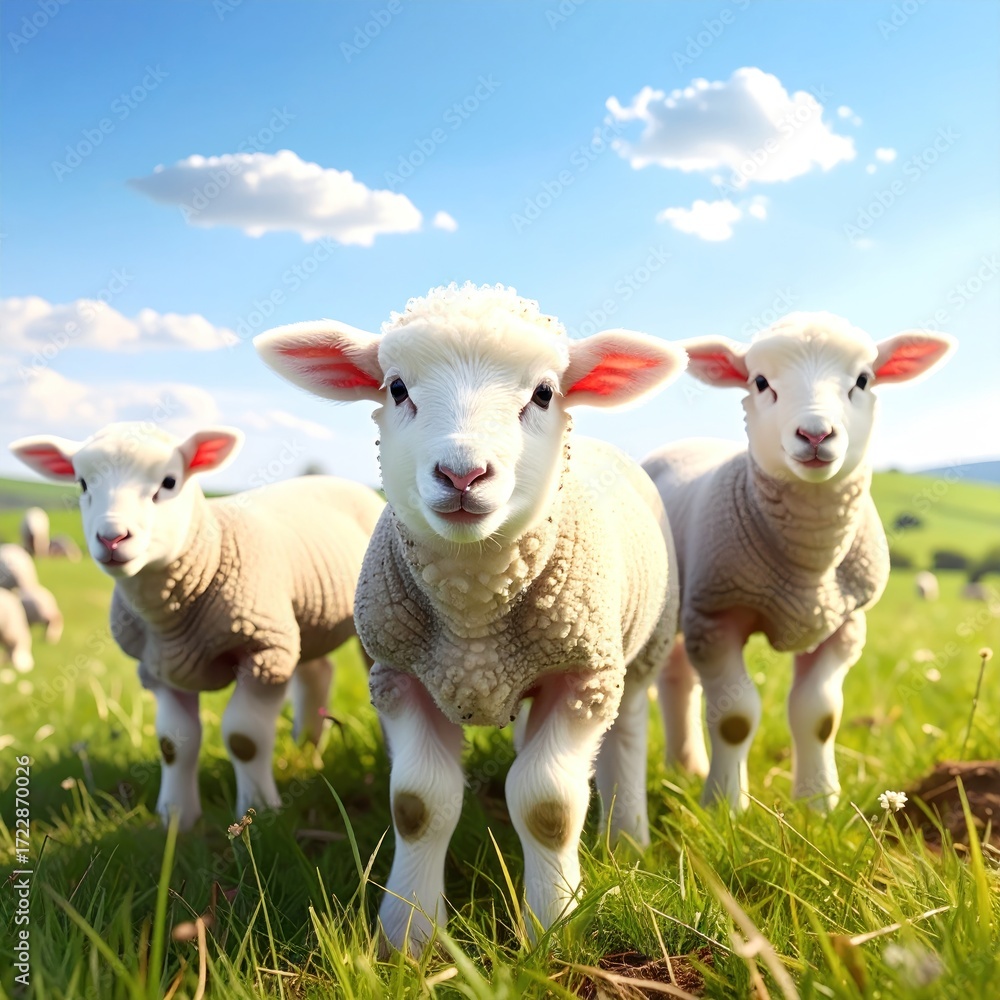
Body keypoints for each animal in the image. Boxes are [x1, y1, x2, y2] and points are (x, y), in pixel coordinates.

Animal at [10, 422, 384, 830]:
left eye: (169, 482)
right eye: (82, 483)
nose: (112, 538)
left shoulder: (263, 653)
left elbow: (244, 739)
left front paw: (259, 810)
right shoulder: (160, 669)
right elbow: (174, 745)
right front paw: (175, 818)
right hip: (301, 623)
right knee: (318, 673)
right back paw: (306, 746)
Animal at [256, 282, 687, 952]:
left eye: (544, 393)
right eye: (396, 388)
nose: (463, 474)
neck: (474, 612)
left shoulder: (582, 676)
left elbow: (548, 806)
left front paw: (552, 926)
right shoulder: (400, 675)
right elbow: (417, 805)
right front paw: (409, 935)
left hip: (636, 653)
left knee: (629, 731)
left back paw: (627, 834)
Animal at [643, 312, 955, 812]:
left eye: (863, 380)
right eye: (760, 381)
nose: (815, 434)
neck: (810, 563)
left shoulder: (843, 625)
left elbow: (819, 717)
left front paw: (818, 803)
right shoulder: (717, 617)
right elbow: (735, 718)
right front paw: (725, 807)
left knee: (677, 678)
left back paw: (684, 768)